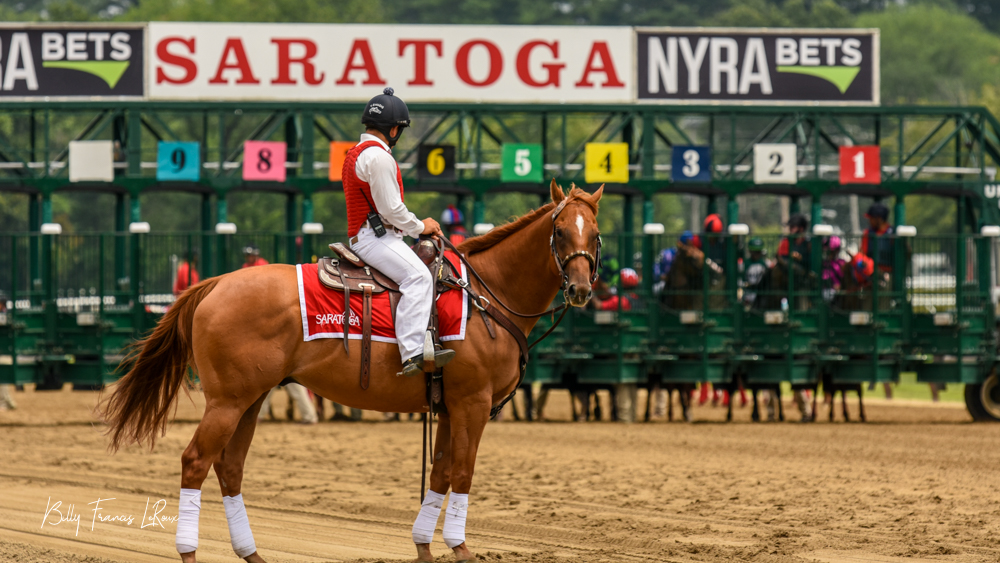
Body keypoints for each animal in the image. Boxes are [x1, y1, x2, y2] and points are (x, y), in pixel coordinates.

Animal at [99, 182, 600, 563]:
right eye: (559, 230)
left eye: (594, 234)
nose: (579, 288)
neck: (483, 296)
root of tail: (217, 282)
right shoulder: (471, 404)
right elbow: (462, 473)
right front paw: (459, 548)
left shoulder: (447, 407)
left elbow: (439, 474)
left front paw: (424, 547)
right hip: (227, 402)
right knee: (196, 462)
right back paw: (189, 552)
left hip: (250, 400)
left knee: (230, 467)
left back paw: (251, 553)